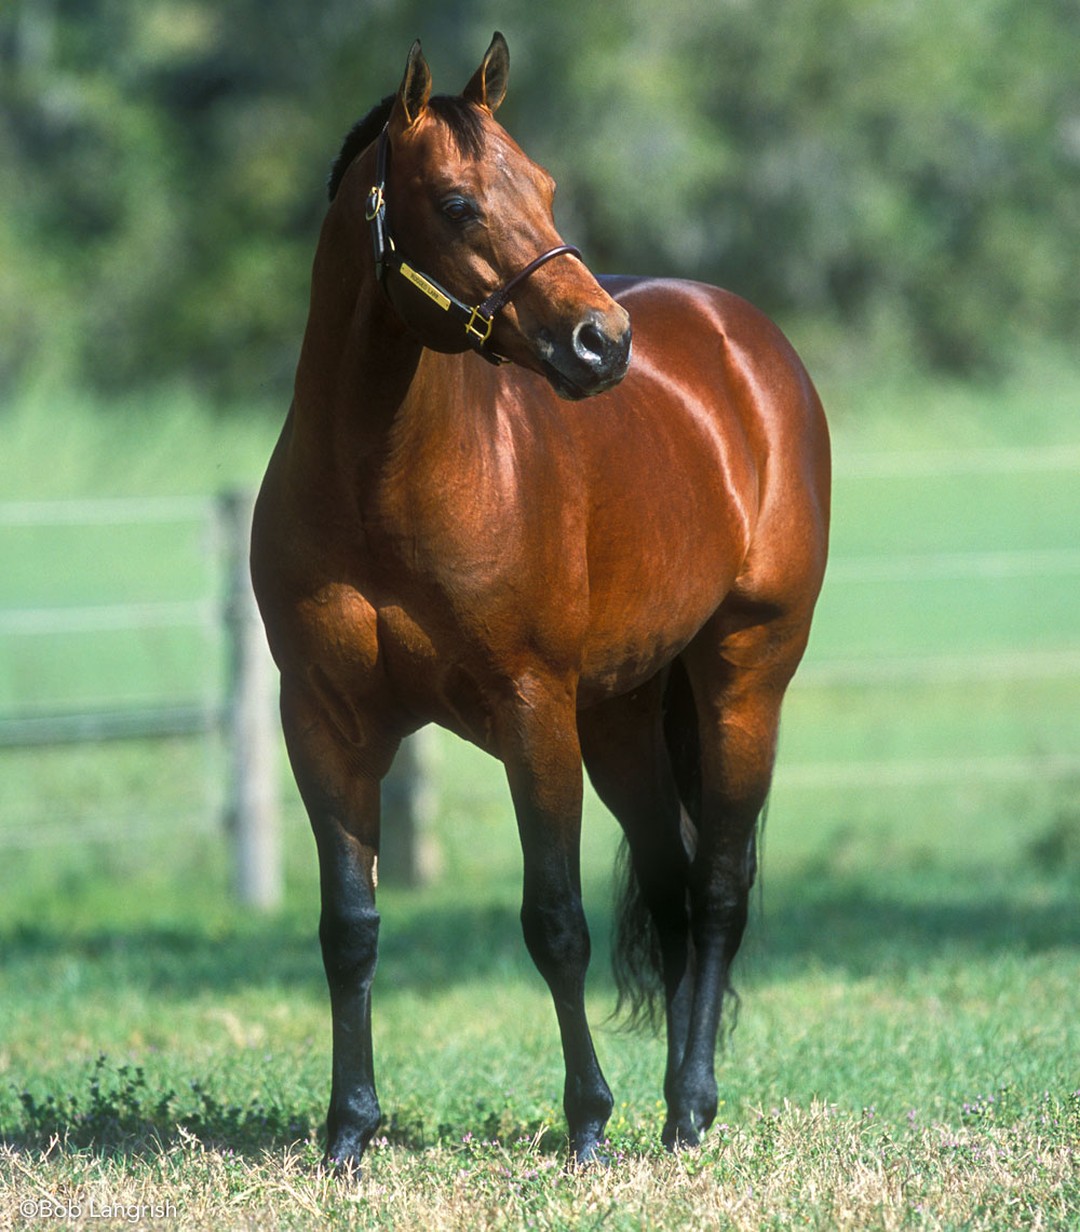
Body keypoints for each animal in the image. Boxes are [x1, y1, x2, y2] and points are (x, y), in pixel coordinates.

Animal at [252, 28, 827, 1163]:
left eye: (548, 186)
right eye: (458, 203)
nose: (604, 343)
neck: (381, 481)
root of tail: (744, 340)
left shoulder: (532, 713)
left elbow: (555, 919)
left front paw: (589, 1121)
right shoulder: (324, 723)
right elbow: (350, 927)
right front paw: (349, 1131)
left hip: (744, 680)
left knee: (719, 888)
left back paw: (691, 1105)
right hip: (623, 717)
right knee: (674, 891)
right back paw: (675, 1105)